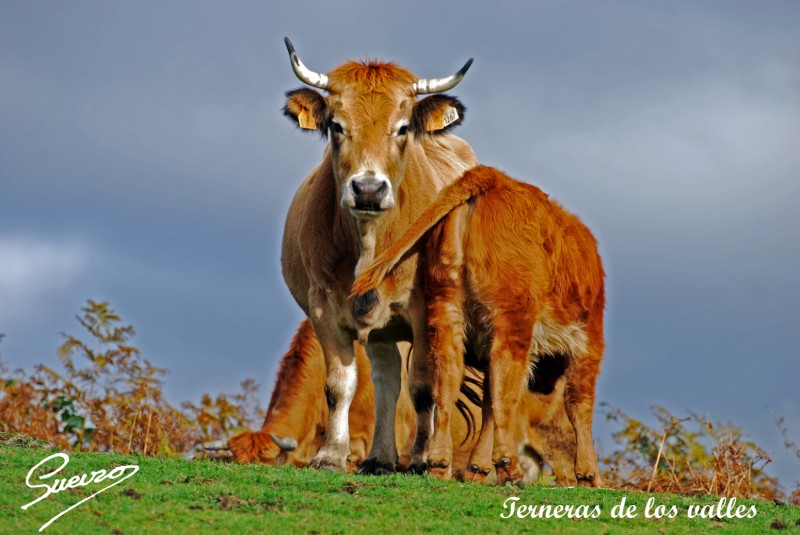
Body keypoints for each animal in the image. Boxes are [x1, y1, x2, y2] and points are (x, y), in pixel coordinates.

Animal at [278, 37, 478, 476]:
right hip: (380, 330)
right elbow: (340, 384)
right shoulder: (323, 306)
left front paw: (420, 458)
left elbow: (423, 386)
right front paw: (330, 454)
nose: (368, 189)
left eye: (402, 128)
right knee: (387, 378)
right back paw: (380, 457)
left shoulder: (422, 311)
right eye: (336, 125)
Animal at [354, 165, 604, 488]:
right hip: (512, 326)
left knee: (446, 384)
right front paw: (588, 474)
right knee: (504, 394)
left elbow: (484, 403)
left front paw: (477, 468)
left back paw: (439, 463)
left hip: (446, 314)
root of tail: (491, 176)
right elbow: (578, 404)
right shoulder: (589, 342)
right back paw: (510, 468)